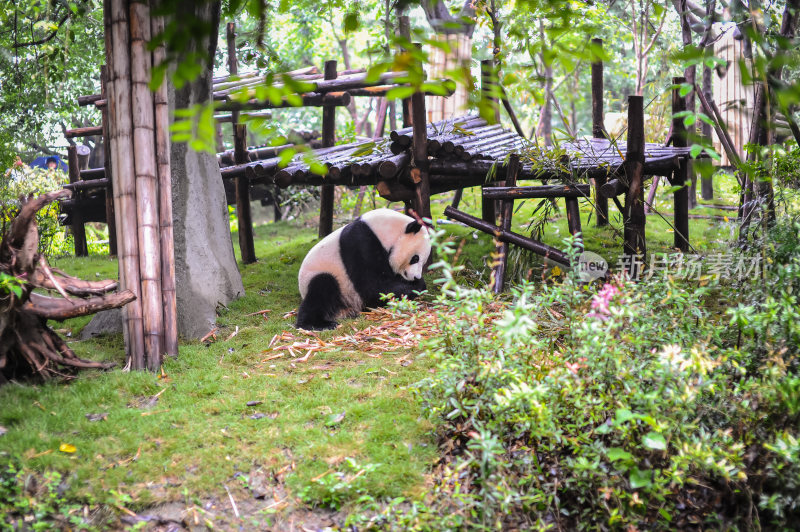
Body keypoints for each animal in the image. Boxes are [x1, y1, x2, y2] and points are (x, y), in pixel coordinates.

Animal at [296, 207, 432, 328]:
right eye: (415, 258)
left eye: (424, 262)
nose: (416, 277)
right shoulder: (361, 244)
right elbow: (373, 285)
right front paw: (418, 286)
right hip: (323, 275)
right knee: (322, 288)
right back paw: (316, 324)